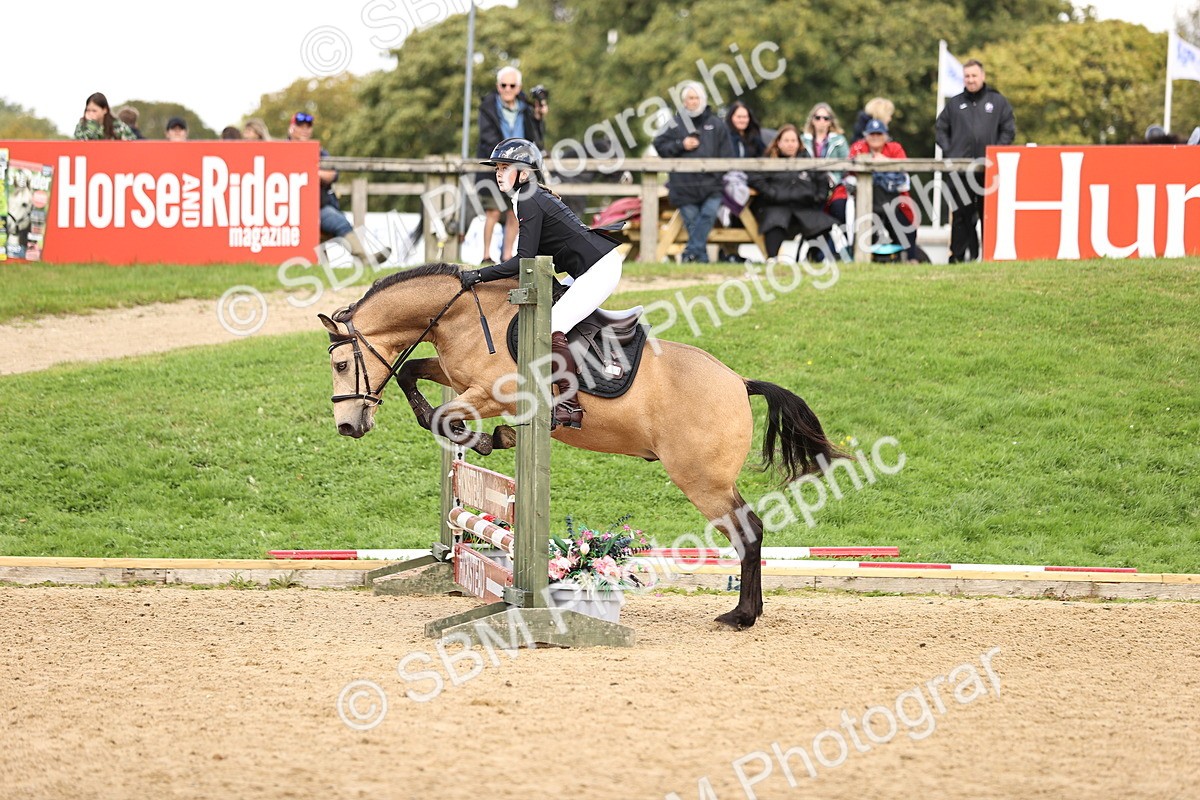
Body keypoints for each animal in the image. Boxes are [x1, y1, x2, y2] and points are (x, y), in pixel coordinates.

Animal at [319, 262, 844, 629]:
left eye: (342, 365)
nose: (347, 426)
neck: (463, 315)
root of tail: (738, 382)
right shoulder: (456, 378)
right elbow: (411, 373)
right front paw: (493, 436)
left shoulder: (489, 392)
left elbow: (446, 417)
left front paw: (487, 438)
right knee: (749, 531)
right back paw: (748, 611)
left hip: (702, 480)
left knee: (748, 531)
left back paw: (742, 616)